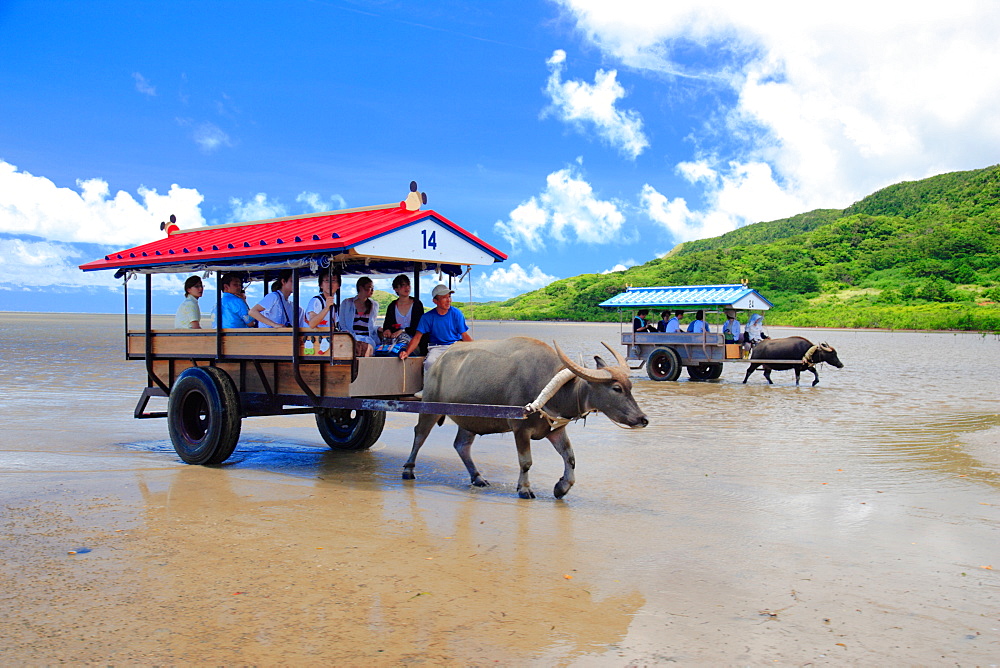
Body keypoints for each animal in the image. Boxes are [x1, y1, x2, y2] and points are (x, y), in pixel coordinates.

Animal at [404, 336, 648, 498]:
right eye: (616, 388)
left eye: (630, 386)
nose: (643, 419)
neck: (552, 390)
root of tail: (438, 362)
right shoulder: (520, 429)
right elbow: (526, 462)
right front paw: (524, 488)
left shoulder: (556, 429)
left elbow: (570, 457)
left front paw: (562, 487)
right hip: (429, 408)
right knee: (420, 435)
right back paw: (408, 469)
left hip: (469, 418)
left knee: (461, 445)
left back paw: (478, 477)